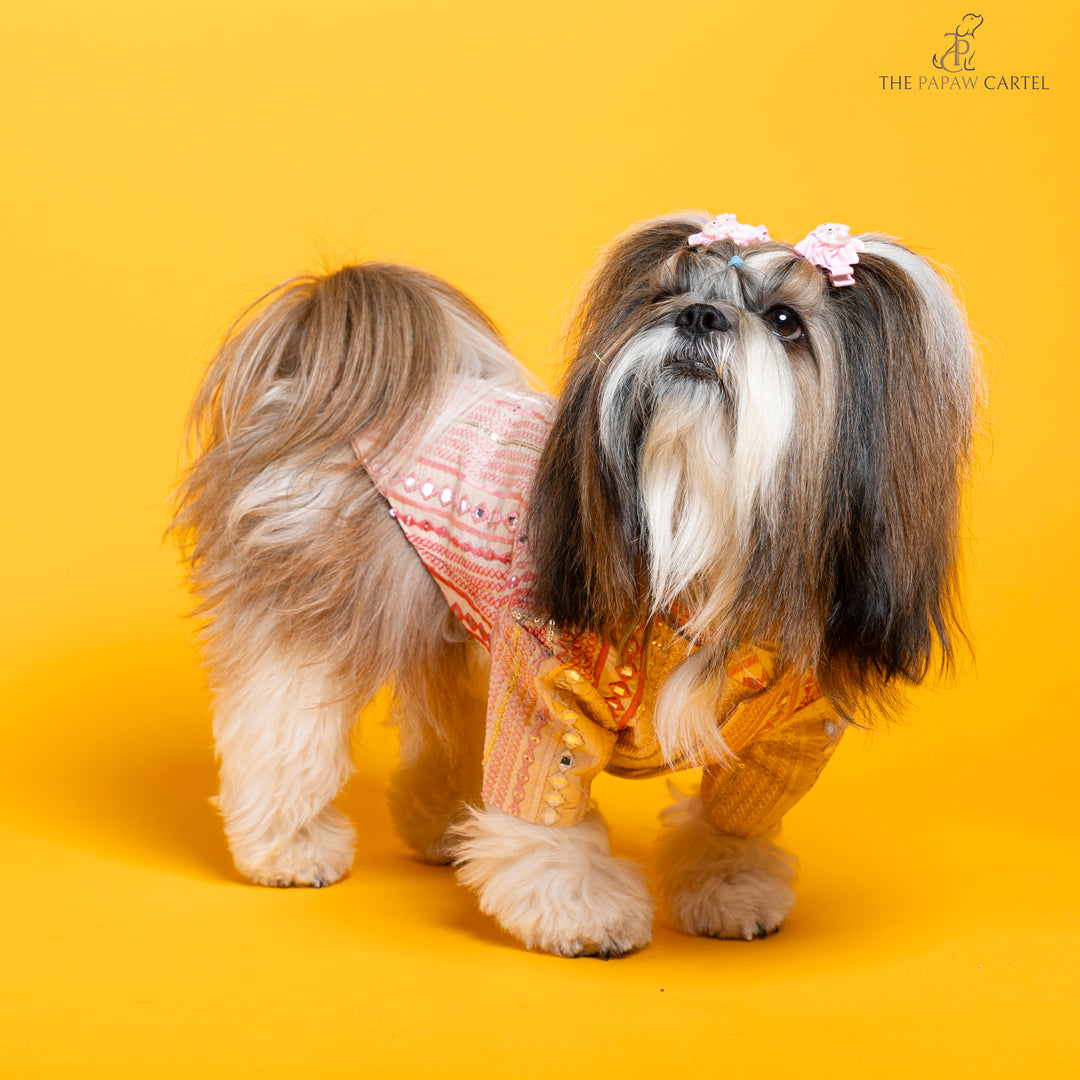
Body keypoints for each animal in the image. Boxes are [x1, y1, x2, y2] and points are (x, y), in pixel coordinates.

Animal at [172, 210, 976, 954]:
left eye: (785, 322)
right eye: (667, 294)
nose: (699, 315)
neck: (695, 538)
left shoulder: (790, 732)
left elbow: (737, 814)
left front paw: (730, 886)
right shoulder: (543, 679)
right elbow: (545, 803)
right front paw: (582, 911)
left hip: (448, 627)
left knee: (444, 730)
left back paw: (445, 828)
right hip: (319, 602)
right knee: (282, 725)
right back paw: (289, 849)